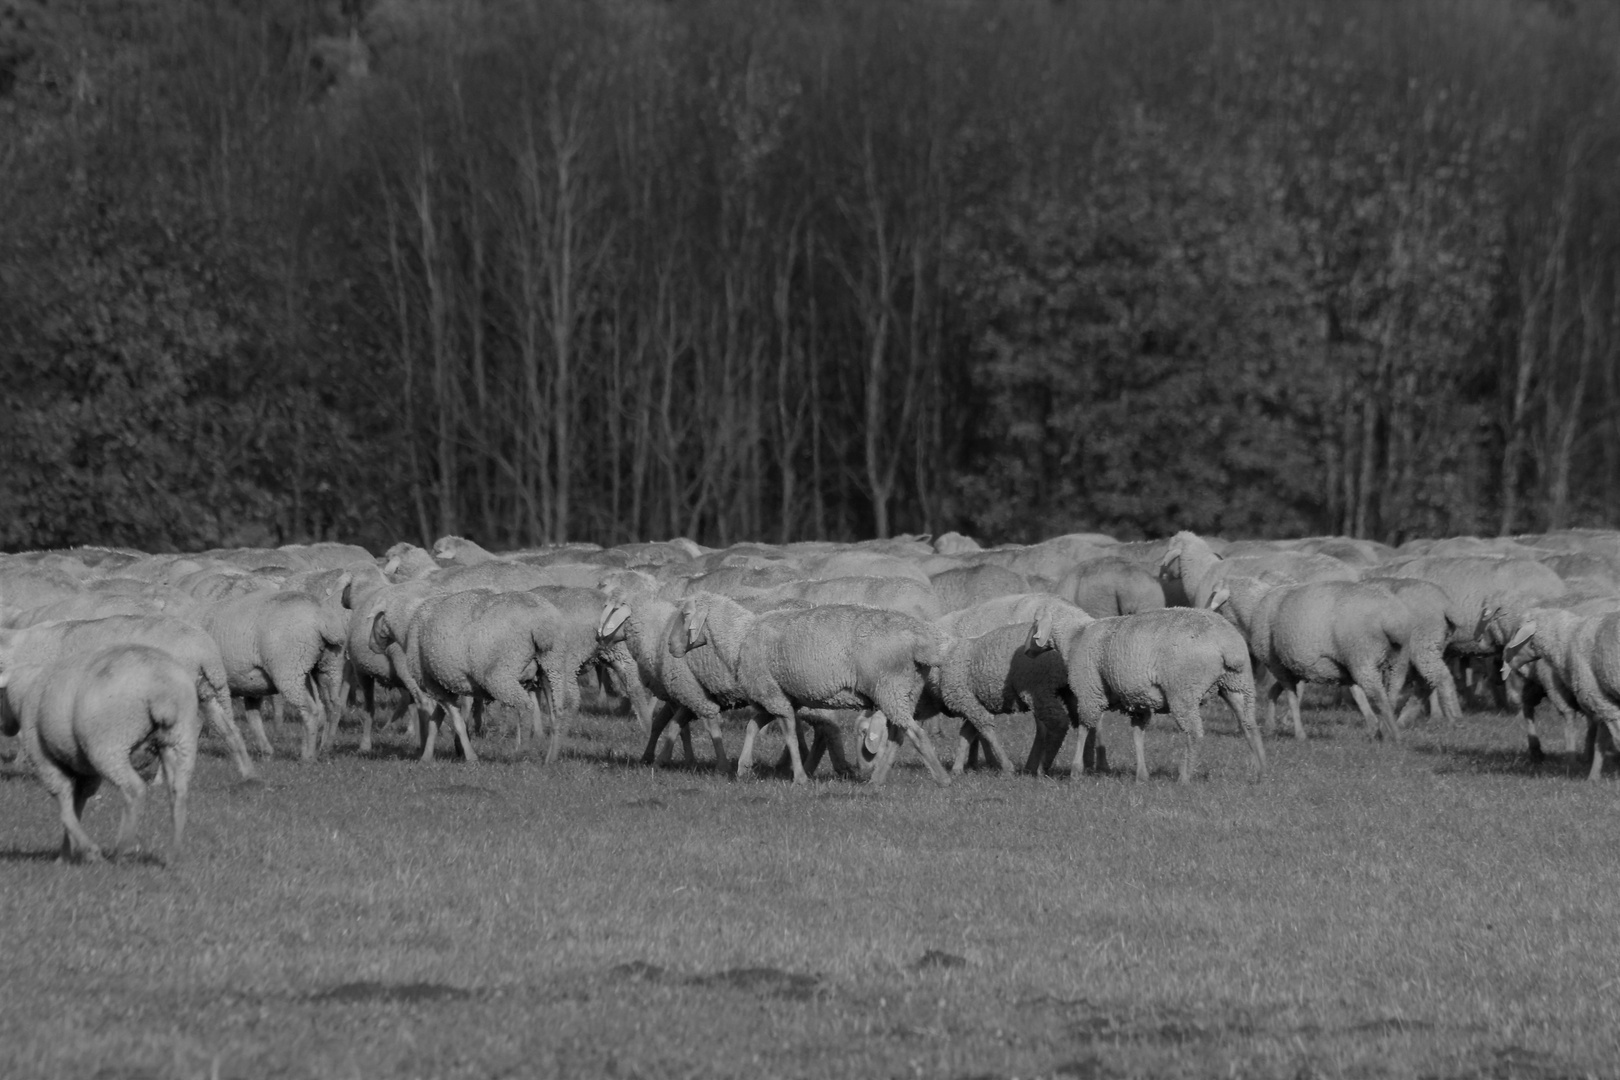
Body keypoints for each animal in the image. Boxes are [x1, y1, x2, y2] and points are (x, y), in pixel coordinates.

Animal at [0, 647, 200, 867]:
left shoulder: (43, 759)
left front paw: (89, 851)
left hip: (109, 743)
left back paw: (121, 851)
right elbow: (76, 805)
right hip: (180, 739)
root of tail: (163, 688)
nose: (4, 728)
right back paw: (174, 855)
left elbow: (64, 806)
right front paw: (65, 855)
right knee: (178, 791)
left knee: (134, 789)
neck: (24, 693)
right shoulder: (86, 769)